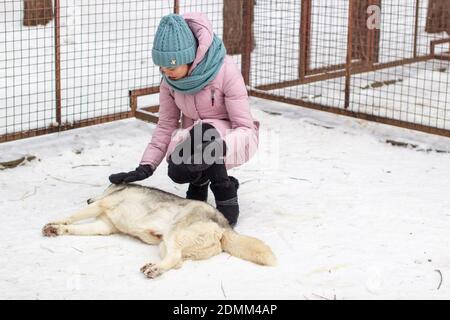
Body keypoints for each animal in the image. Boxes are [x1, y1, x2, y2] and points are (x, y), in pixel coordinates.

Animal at [42, 182, 276, 278]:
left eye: (102, 189)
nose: (88, 198)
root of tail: (225, 224)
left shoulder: (101, 205)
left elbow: (72, 216)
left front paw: (55, 222)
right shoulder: (103, 226)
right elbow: (73, 228)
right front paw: (57, 230)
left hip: (173, 236)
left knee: (174, 259)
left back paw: (153, 270)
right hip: (165, 243)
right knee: (177, 262)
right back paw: (156, 268)